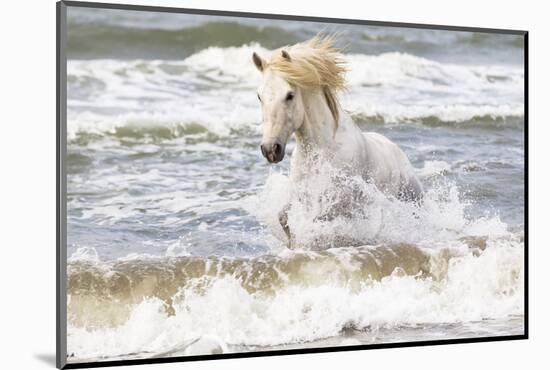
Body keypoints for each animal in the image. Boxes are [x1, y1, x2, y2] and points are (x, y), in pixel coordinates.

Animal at [252, 36, 424, 247]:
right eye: (259, 96)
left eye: (289, 95)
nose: (270, 149)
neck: (323, 150)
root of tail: (396, 150)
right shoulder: (301, 194)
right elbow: (283, 217)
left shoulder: (342, 202)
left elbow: (318, 222)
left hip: (411, 199)